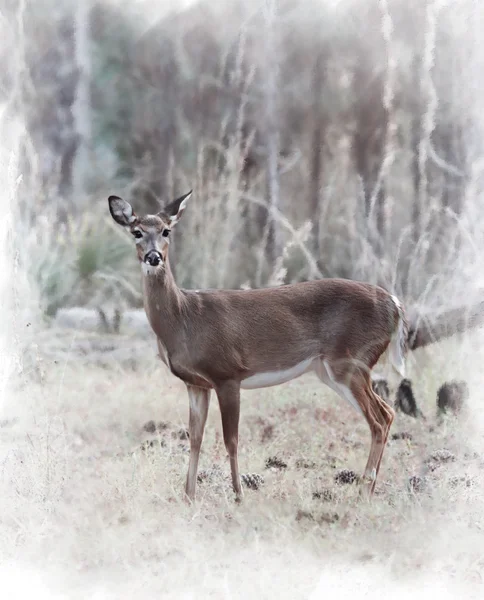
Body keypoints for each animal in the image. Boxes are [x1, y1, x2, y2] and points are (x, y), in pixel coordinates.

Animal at [108, 192, 406, 502]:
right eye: (137, 232)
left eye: (166, 231)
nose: (153, 257)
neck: (184, 318)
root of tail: (395, 304)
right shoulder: (196, 383)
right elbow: (195, 438)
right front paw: (189, 496)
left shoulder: (227, 373)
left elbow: (231, 440)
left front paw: (239, 495)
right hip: (333, 368)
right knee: (387, 413)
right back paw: (369, 488)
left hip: (350, 361)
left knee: (380, 418)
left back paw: (364, 492)